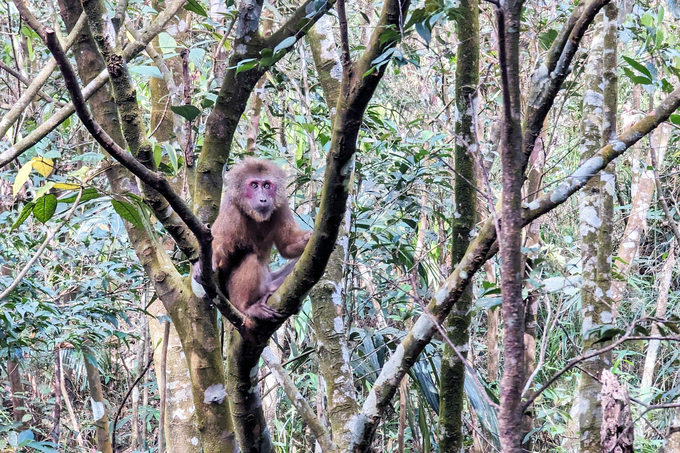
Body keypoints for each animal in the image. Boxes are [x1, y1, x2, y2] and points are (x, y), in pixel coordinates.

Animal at [210, 158, 310, 322]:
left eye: (267, 185)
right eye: (254, 185)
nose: (263, 199)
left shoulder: (280, 205)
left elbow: (286, 245)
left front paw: (309, 238)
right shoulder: (231, 209)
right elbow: (217, 245)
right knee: (250, 257)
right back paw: (247, 307)